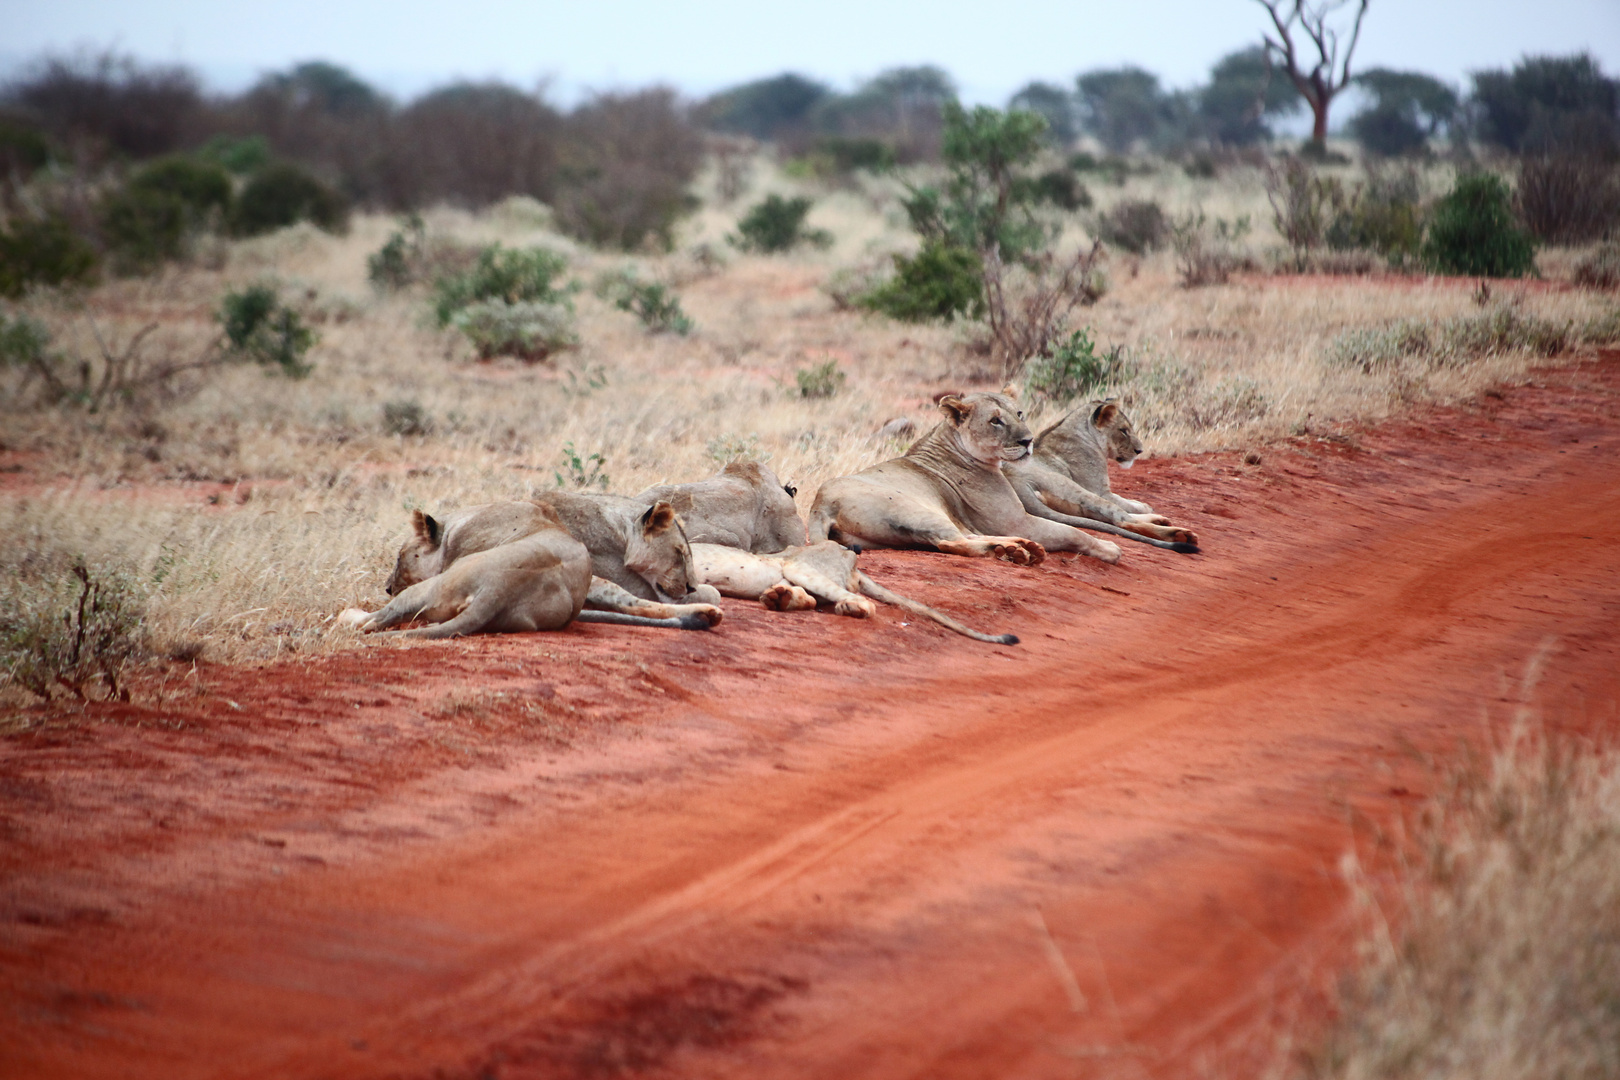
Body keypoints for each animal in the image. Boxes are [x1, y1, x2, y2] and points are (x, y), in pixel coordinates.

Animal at [340, 508, 709, 641]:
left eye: (399, 557)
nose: (387, 587)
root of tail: (498, 589)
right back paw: (707, 615)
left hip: (428, 590)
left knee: (374, 622)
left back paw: (348, 617)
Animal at [690, 544, 1017, 647]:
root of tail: (853, 560)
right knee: (810, 599)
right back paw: (778, 598)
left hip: (799, 566)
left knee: (864, 603)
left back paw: (850, 608)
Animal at [803, 390, 1121, 566]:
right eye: (995, 421)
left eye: (1019, 413)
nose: (1028, 440)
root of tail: (821, 503)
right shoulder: (1016, 520)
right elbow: (1074, 532)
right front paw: (1108, 549)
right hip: (916, 509)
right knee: (953, 543)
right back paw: (1014, 550)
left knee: (960, 537)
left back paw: (1016, 547)